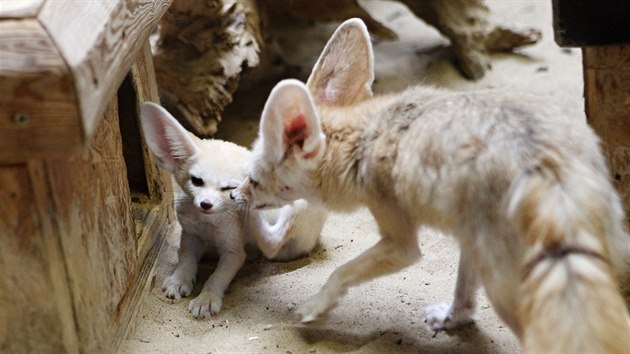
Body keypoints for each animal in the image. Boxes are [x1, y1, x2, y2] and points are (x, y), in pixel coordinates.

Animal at [232, 18, 630, 352]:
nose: (235, 194)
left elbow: (341, 270)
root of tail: (544, 163)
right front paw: (455, 318)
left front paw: (316, 306)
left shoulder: (400, 241)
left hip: (506, 288)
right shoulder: (467, 238)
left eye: (254, 179)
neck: (364, 138)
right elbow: (464, 291)